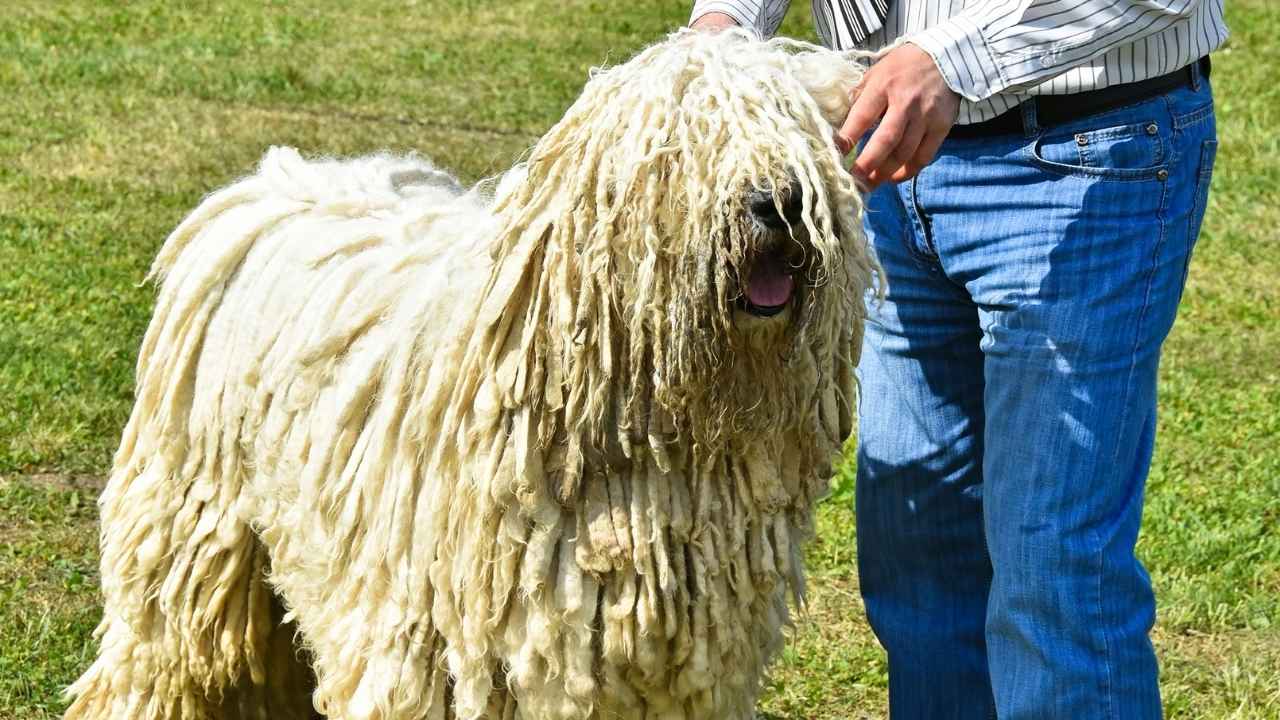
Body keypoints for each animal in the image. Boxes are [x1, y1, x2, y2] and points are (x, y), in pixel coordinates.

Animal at [64, 28, 875, 717]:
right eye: (683, 146)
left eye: (804, 135)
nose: (780, 203)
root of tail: (268, 180)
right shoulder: (425, 639)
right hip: (192, 523)